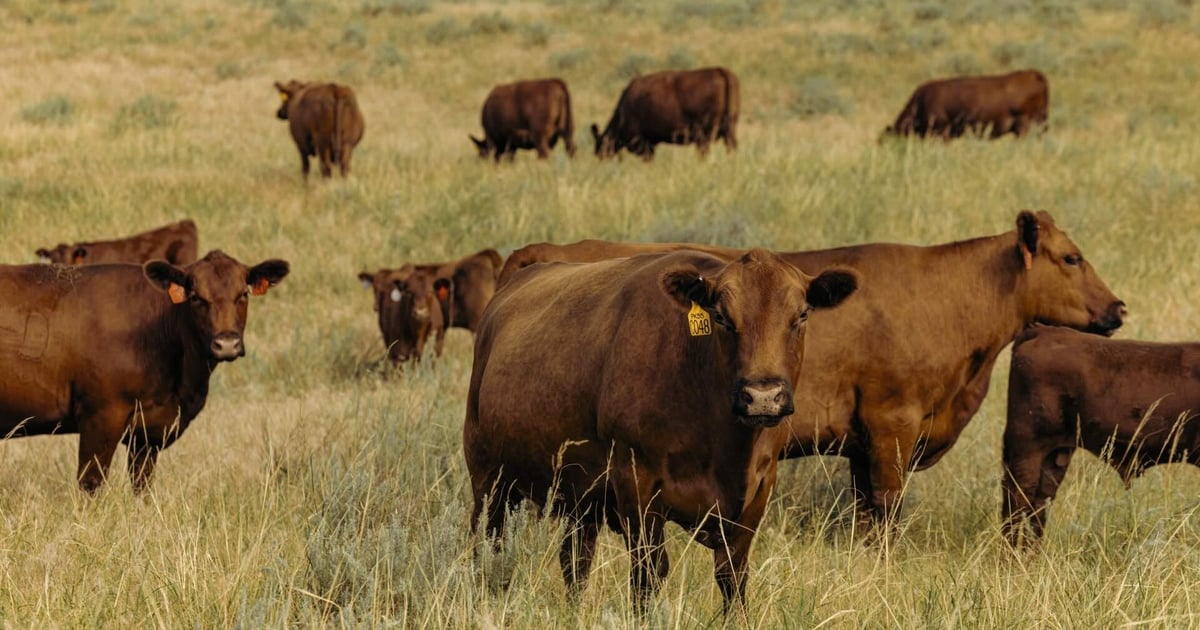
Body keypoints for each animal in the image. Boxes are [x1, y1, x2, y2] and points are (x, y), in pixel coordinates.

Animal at [0, 250, 289, 493]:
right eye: (196, 297)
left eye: (243, 295)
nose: (227, 343)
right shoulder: (101, 414)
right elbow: (91, 482)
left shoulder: (147, 434)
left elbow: (142, 485)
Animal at [465, 249, 858, 611]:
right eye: (721, 317)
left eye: (802, 314)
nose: (763, 396)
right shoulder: (636, 482)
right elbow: (649, 574)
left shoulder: (759, 488)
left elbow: (733, 576)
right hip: (488, 479)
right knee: (489, 549)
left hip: (580, 497)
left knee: (575, 560)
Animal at [491, 210, 1126, 532]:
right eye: (1071, 258)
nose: (1118, 308)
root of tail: (540, 253)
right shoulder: (892, 424)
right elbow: (886, 513)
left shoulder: (862, 443)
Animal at [591, 67, 739, 160]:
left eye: (601, 146)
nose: (600, 158)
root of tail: (719, 70)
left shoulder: (644, 144)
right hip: (729, 131)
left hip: (703, 136)